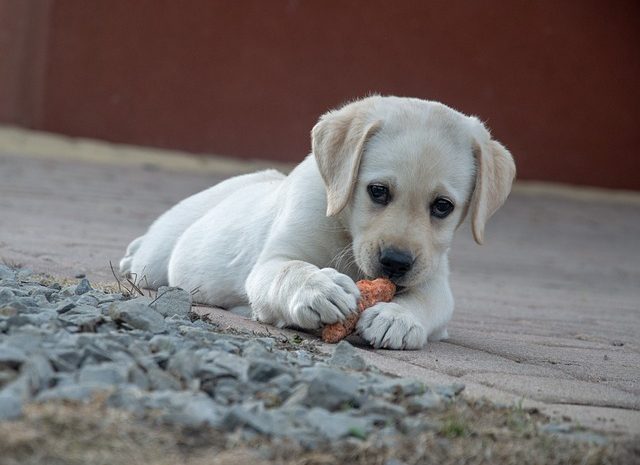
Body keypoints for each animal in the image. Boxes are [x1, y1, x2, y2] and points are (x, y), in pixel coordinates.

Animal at [120, 95, 516, 348]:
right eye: (377, 191)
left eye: (442, 206)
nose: (395, 262)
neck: (346, 233)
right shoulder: (271, 262)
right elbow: (290, 269)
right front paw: (319, 288)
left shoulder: (434, 278)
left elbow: (427, 301)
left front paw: (397, 317)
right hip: (157, 258)